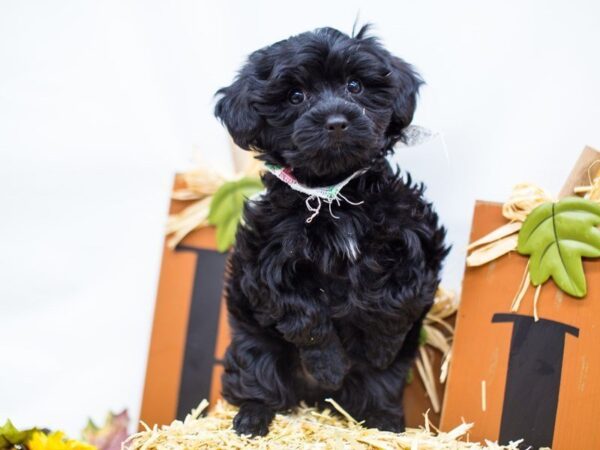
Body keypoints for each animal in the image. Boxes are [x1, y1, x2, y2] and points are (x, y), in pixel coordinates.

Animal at [213, 25, 448, 436]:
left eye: (355, 86)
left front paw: (378, 348)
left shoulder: (418, 237)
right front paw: (329, 366)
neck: (333, 196)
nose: (337, 120)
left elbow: (397, 299)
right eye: (295, 96)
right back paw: (253, 417)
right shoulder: (267, 260)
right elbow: (304, 313)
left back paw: (384, 420)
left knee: (378, 387)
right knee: (257, 376)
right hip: (252, 345)